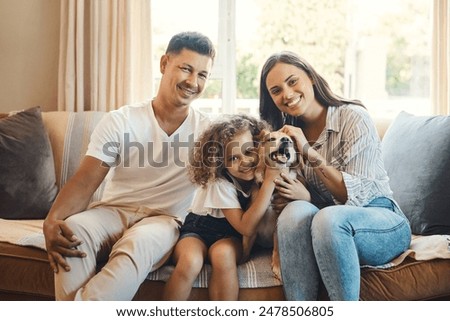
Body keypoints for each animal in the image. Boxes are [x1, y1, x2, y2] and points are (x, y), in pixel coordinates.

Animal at [244, 130, 300, 280]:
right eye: (271, 139)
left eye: (290, 141)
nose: (286, 140)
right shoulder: (250, 231)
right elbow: (245, 249)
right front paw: (242, 261)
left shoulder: (277, 226)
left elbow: (277, 248)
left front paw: (278, 267)